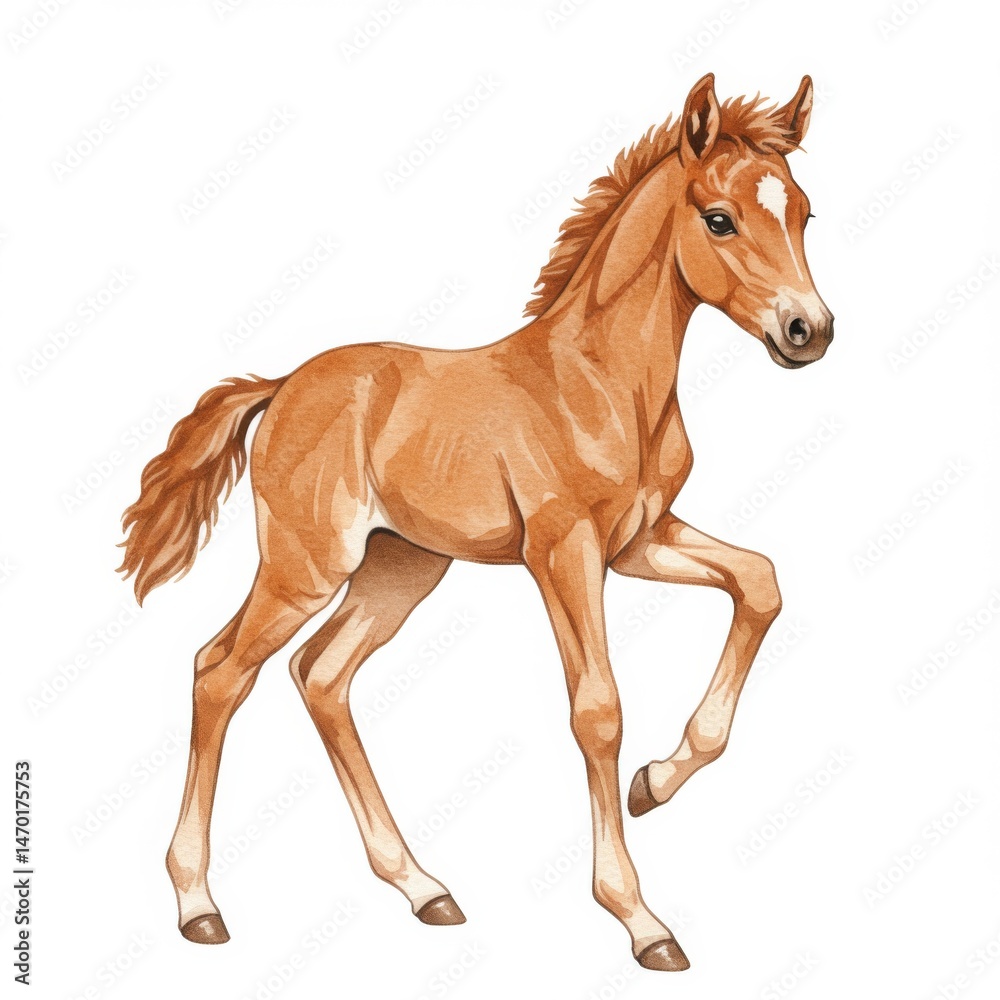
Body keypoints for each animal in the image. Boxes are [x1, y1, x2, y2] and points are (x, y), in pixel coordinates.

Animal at [119, 73, 833, 972]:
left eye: (804, 212)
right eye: (719, 219)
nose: (808, 330)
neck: (601, 381)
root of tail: (281, 387)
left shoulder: (638, 540)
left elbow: (760, 583)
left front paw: (655, 784)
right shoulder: (564, 551)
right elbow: (598, 709)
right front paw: (640, 919)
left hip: (400, 567)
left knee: (322, 676)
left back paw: (424, 888)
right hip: (305, 566)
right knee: (219, 671)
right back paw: (197, 904)